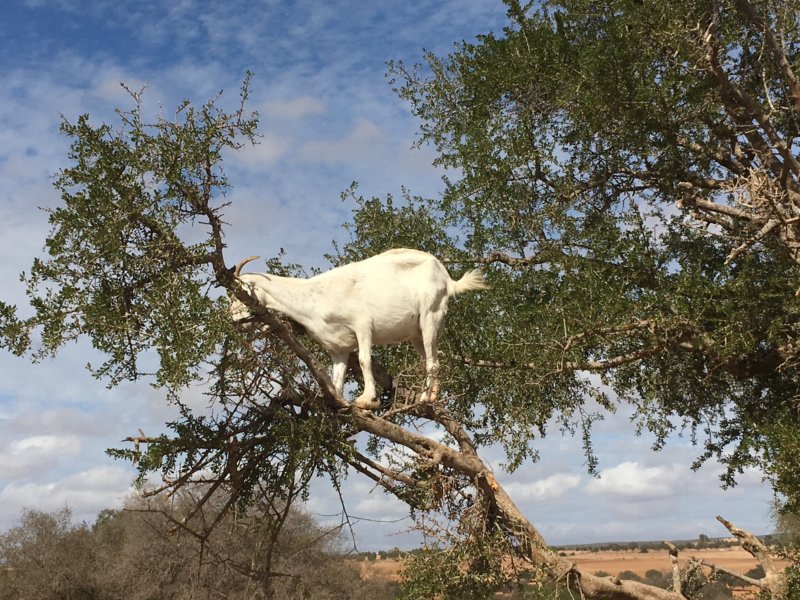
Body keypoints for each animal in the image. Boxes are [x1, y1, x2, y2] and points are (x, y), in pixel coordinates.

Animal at [229, 248, 487, 409]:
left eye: (240, 292)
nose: (235, 322)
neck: (316, 296)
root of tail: (448, 279)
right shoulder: (338, 348)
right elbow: (336, 380)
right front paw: (339, 403)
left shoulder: (362, 325)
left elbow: (364, 360)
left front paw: (366, 400)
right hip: (417, 334)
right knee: (431, 360)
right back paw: (433, 396)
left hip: (430, 315)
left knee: (432, 362)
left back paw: (423, 398)